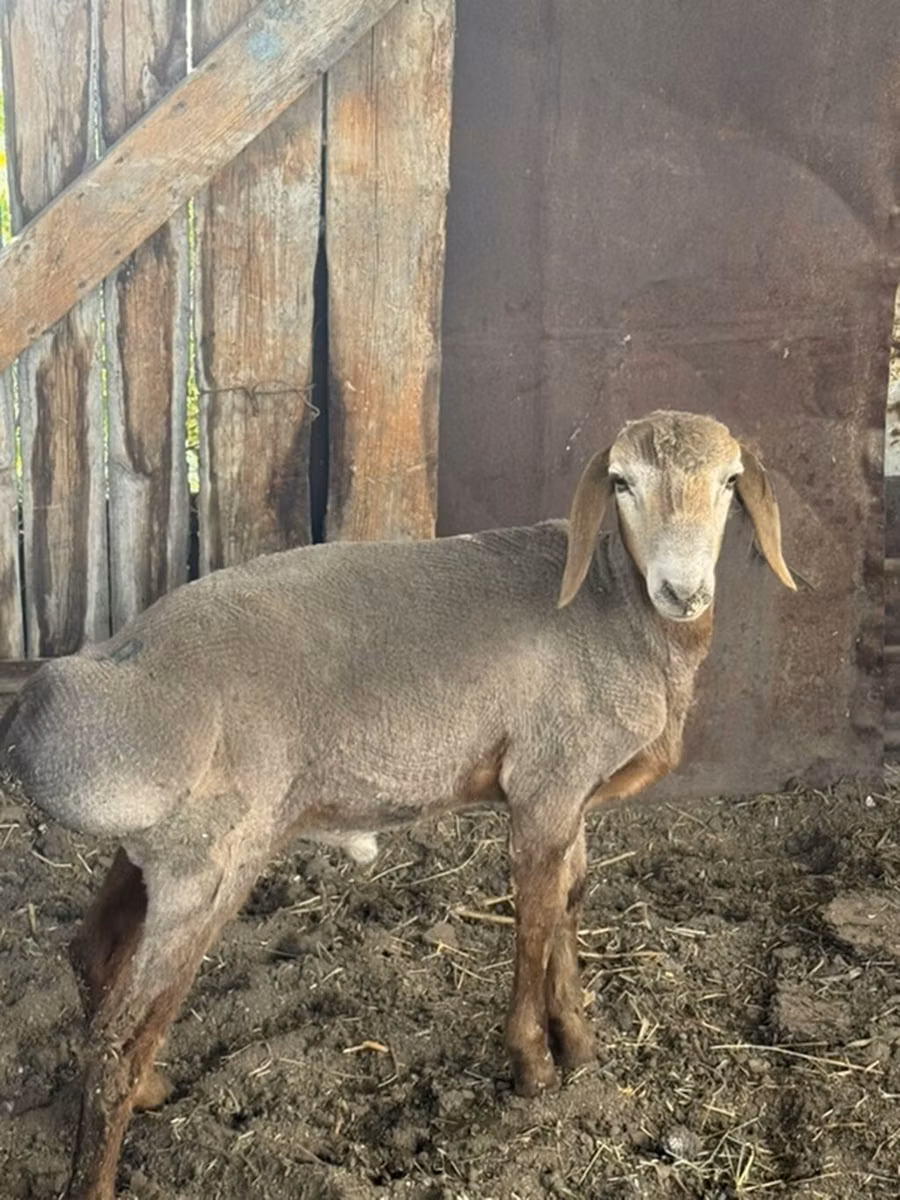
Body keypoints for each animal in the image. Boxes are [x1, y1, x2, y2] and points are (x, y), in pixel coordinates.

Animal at [0, 409, 795, 1199]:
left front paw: (579, 1044)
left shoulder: (572, 792)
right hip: (213, 859)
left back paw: (152, 1089)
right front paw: (535, 1067)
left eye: (730, 482)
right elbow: (536, 917)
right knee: (118, 1041)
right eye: (622, 482)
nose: (683, 591)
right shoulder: (545, 781)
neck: (616, 610)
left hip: (163, 847)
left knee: (93, 954)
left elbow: (571, 901)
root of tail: (92, 686)